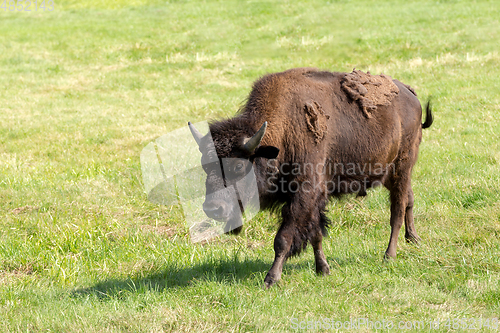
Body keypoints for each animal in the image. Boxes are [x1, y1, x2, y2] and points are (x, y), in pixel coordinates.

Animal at [189, 67, 432, 288]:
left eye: (239, 165)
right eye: (204, 164)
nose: (213, 208)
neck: (283, 132)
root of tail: (410, 94)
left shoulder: (304, 194)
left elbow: (283, 238)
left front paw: (271, 279)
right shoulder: (315, 198)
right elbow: (316, 234)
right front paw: (322, 269)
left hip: (402, 166)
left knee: (397, 210)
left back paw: (389, 255)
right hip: (391, 173)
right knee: (409, 199)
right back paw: (413, 238)